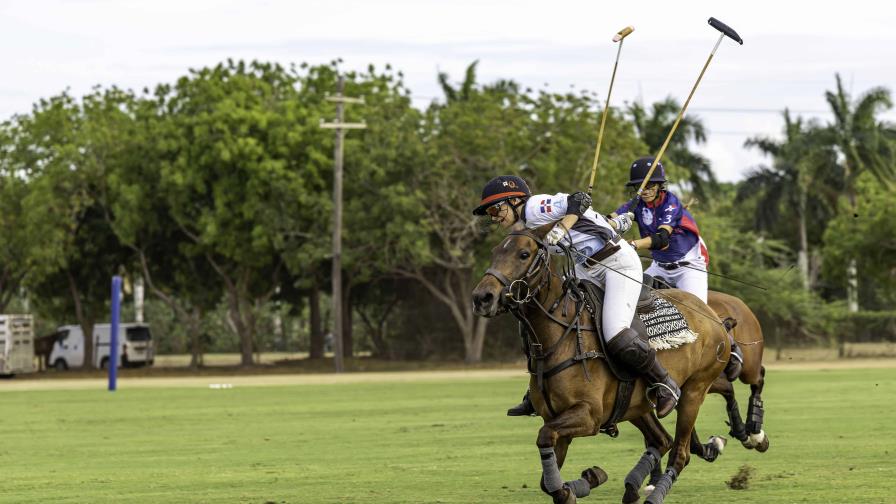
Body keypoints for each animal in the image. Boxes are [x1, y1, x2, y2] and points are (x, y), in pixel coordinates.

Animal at [472, 225, 732, 504]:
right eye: (495, 252)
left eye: (523, 254)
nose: (482, 297)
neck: (561, 336)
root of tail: (712, 314)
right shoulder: (556, 419)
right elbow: (546, 476)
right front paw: (586, 481)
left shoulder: (590, 415)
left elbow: (544, 438)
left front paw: (584, 482)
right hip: (637, 405)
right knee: (661, 440)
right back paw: (632, 487)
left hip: (694, 391)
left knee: (680, 452)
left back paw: (653, 492)